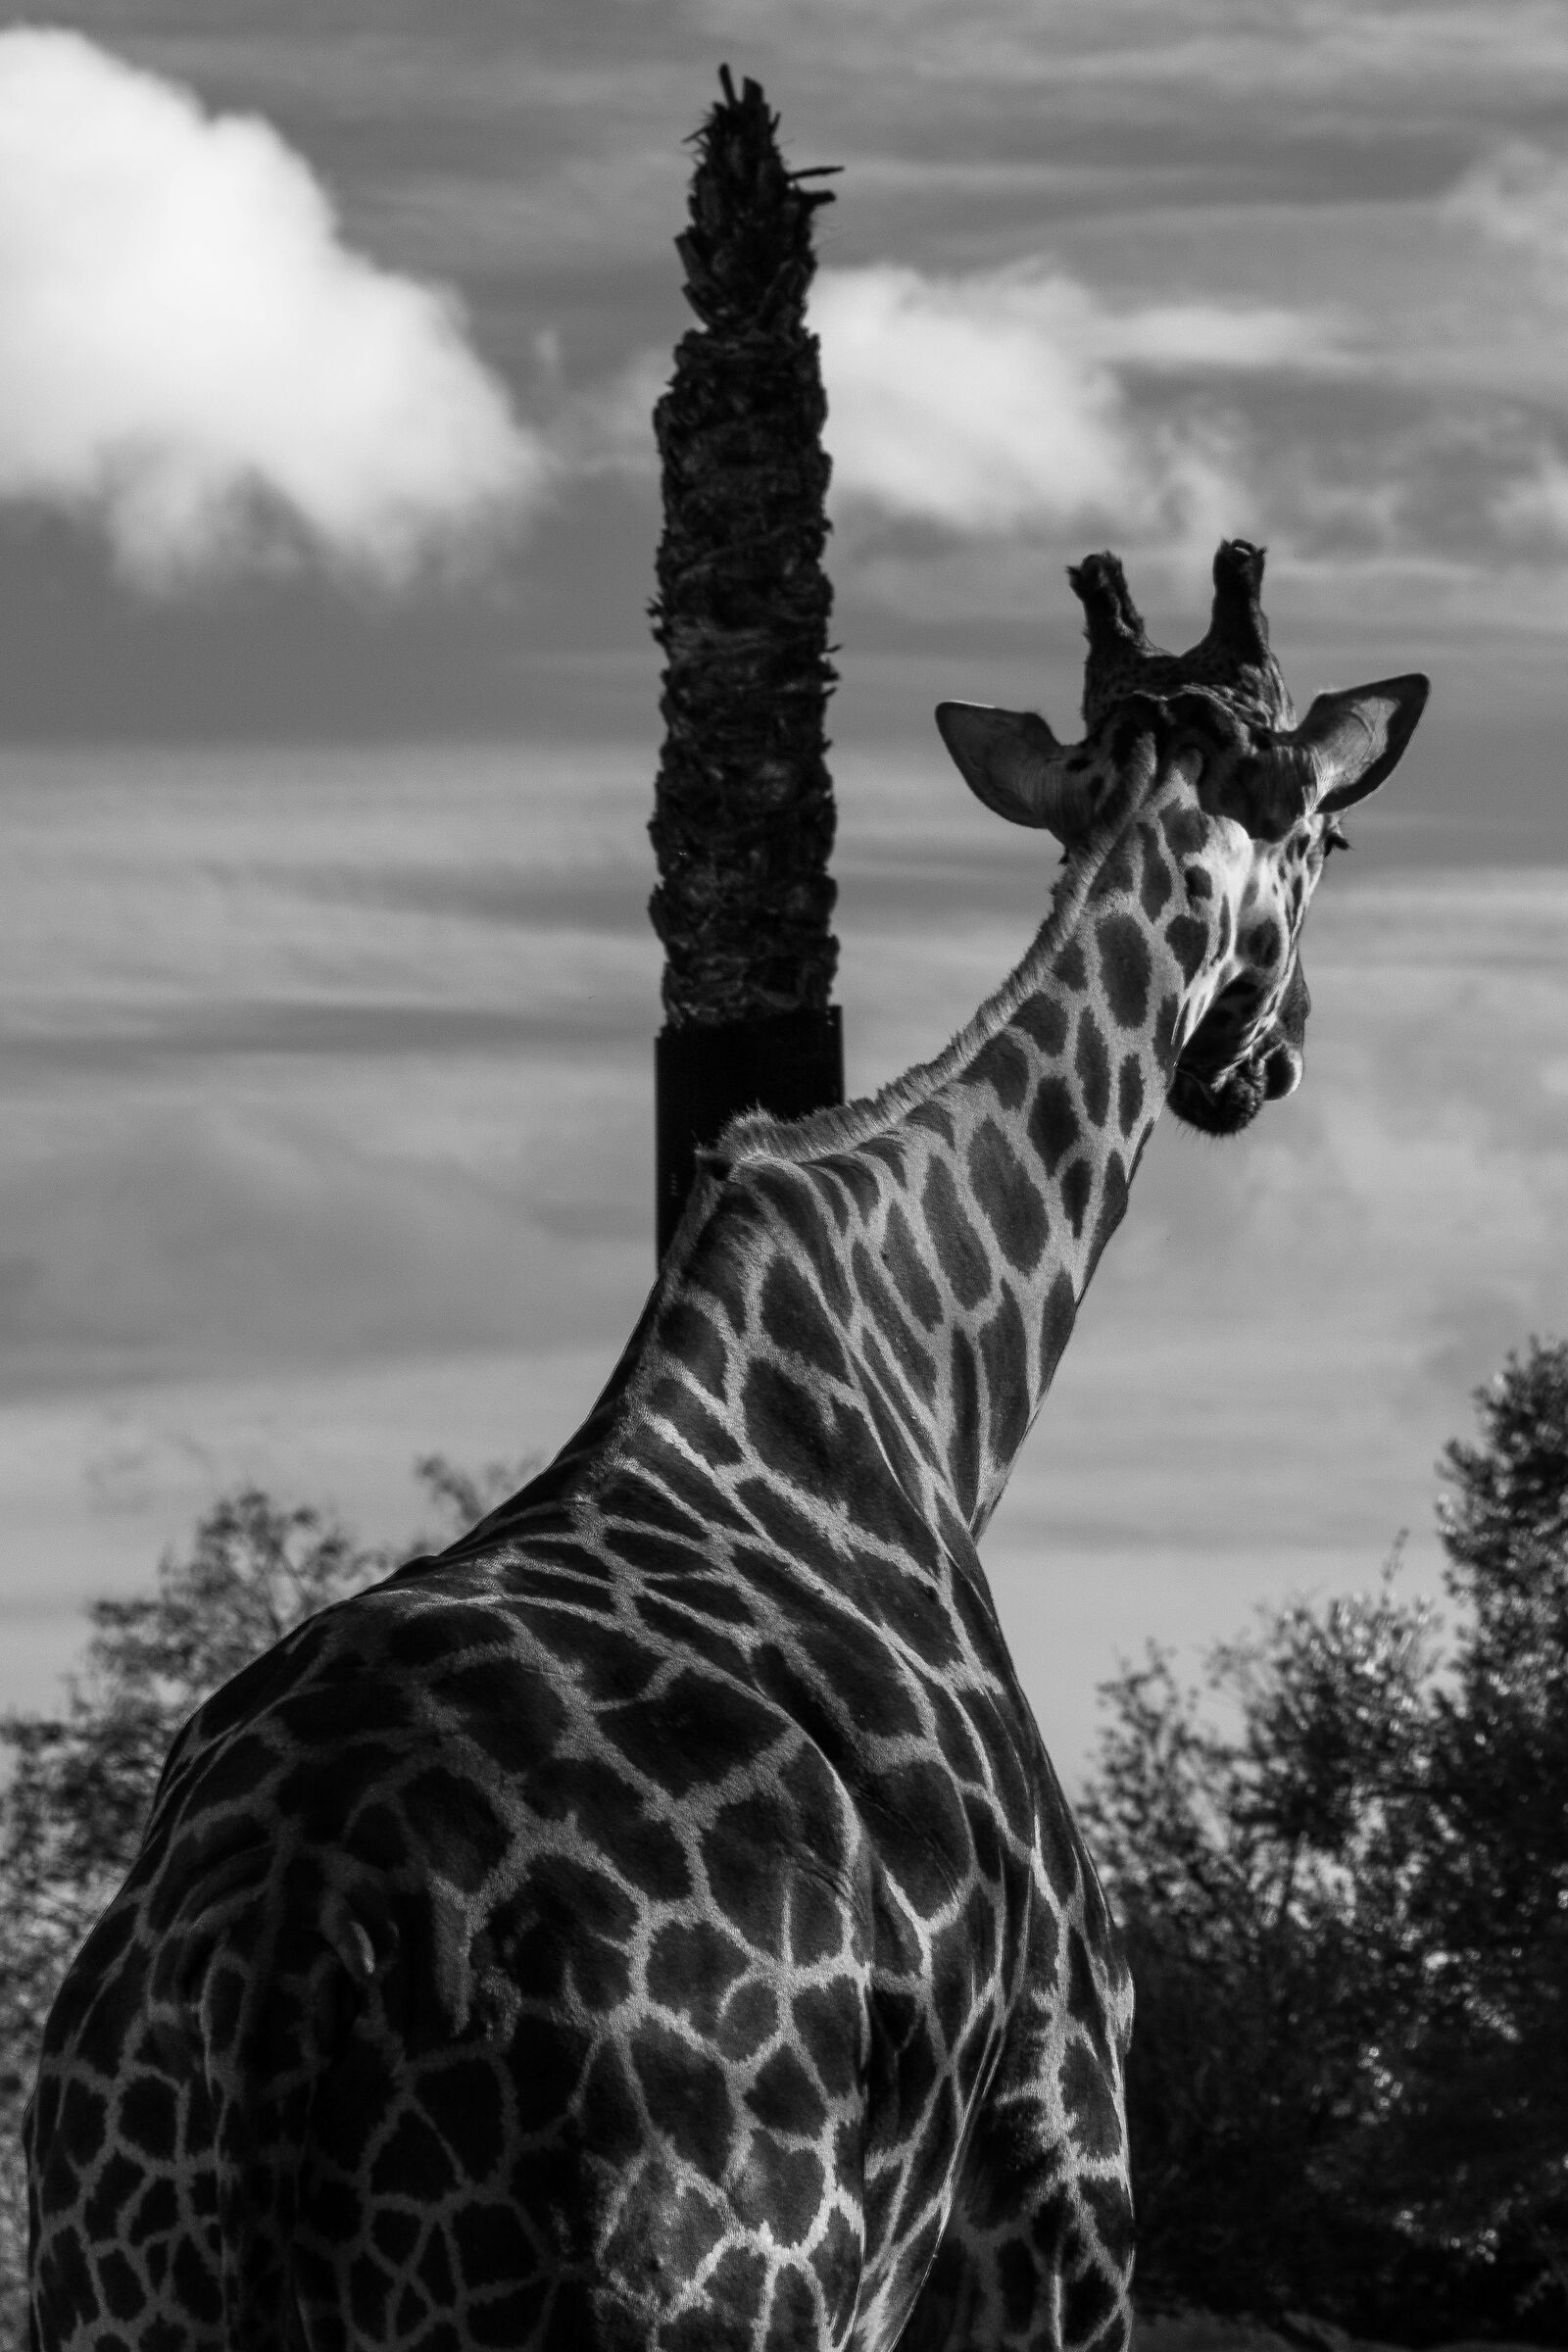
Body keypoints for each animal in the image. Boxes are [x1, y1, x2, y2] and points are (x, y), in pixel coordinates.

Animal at [26, 541, 1427, 2352]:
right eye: (1332, 832)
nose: (1268, 1059)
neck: (939, 1390)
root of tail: (285, 1959)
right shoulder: (1060, 2211)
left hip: (119, 2281)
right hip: (698, 2292)